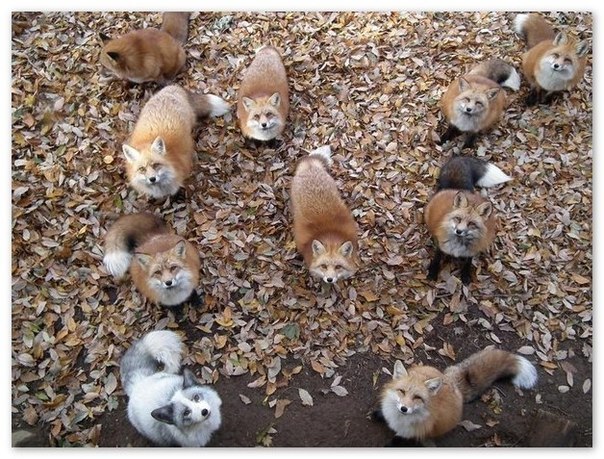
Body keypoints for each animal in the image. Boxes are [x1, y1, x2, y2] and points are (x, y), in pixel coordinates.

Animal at [373, 346, 538, 444]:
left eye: (417, 398)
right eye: (402, 391)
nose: (404, 408)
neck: (399, 419)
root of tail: (452, 382)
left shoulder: (411, 434)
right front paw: (379, 415)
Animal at [424, 156, 511, 284]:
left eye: (471, 224)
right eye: (458, 219)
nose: (459, 231)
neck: (458, 245)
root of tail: (457, 188)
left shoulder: (472, 251)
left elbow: (468, 263)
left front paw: (465, 276)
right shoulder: (441, 246)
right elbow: (436, 259)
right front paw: (432, 272)